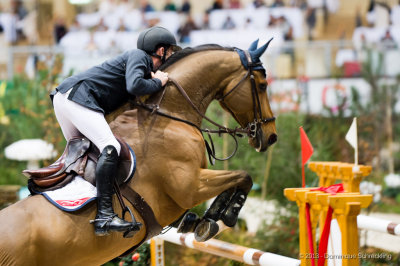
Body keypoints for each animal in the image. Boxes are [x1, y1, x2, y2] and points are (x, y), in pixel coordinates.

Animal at [0, 40, 276, 266]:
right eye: (263, 85)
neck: (170, 114)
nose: (271, 136)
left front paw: (203, 220)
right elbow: (243, 176)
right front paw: (223, 215)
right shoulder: (189, 186)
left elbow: (235, 180)